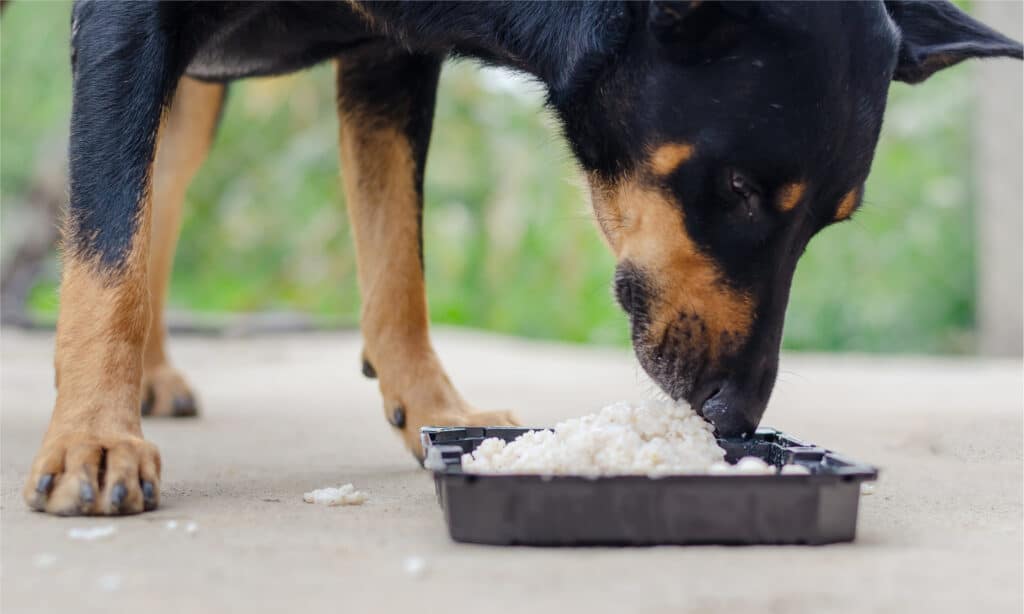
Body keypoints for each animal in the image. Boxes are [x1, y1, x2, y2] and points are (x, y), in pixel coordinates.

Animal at [25, 2, 1024, 515]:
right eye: (738, 188)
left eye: (827, 221)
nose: (735, 417)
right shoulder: (125, 25)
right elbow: (105, 248)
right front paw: (96, 437)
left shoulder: (390, 57)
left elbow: (398, 259)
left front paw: (433, 407)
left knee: (164, 180)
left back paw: (156, 372)